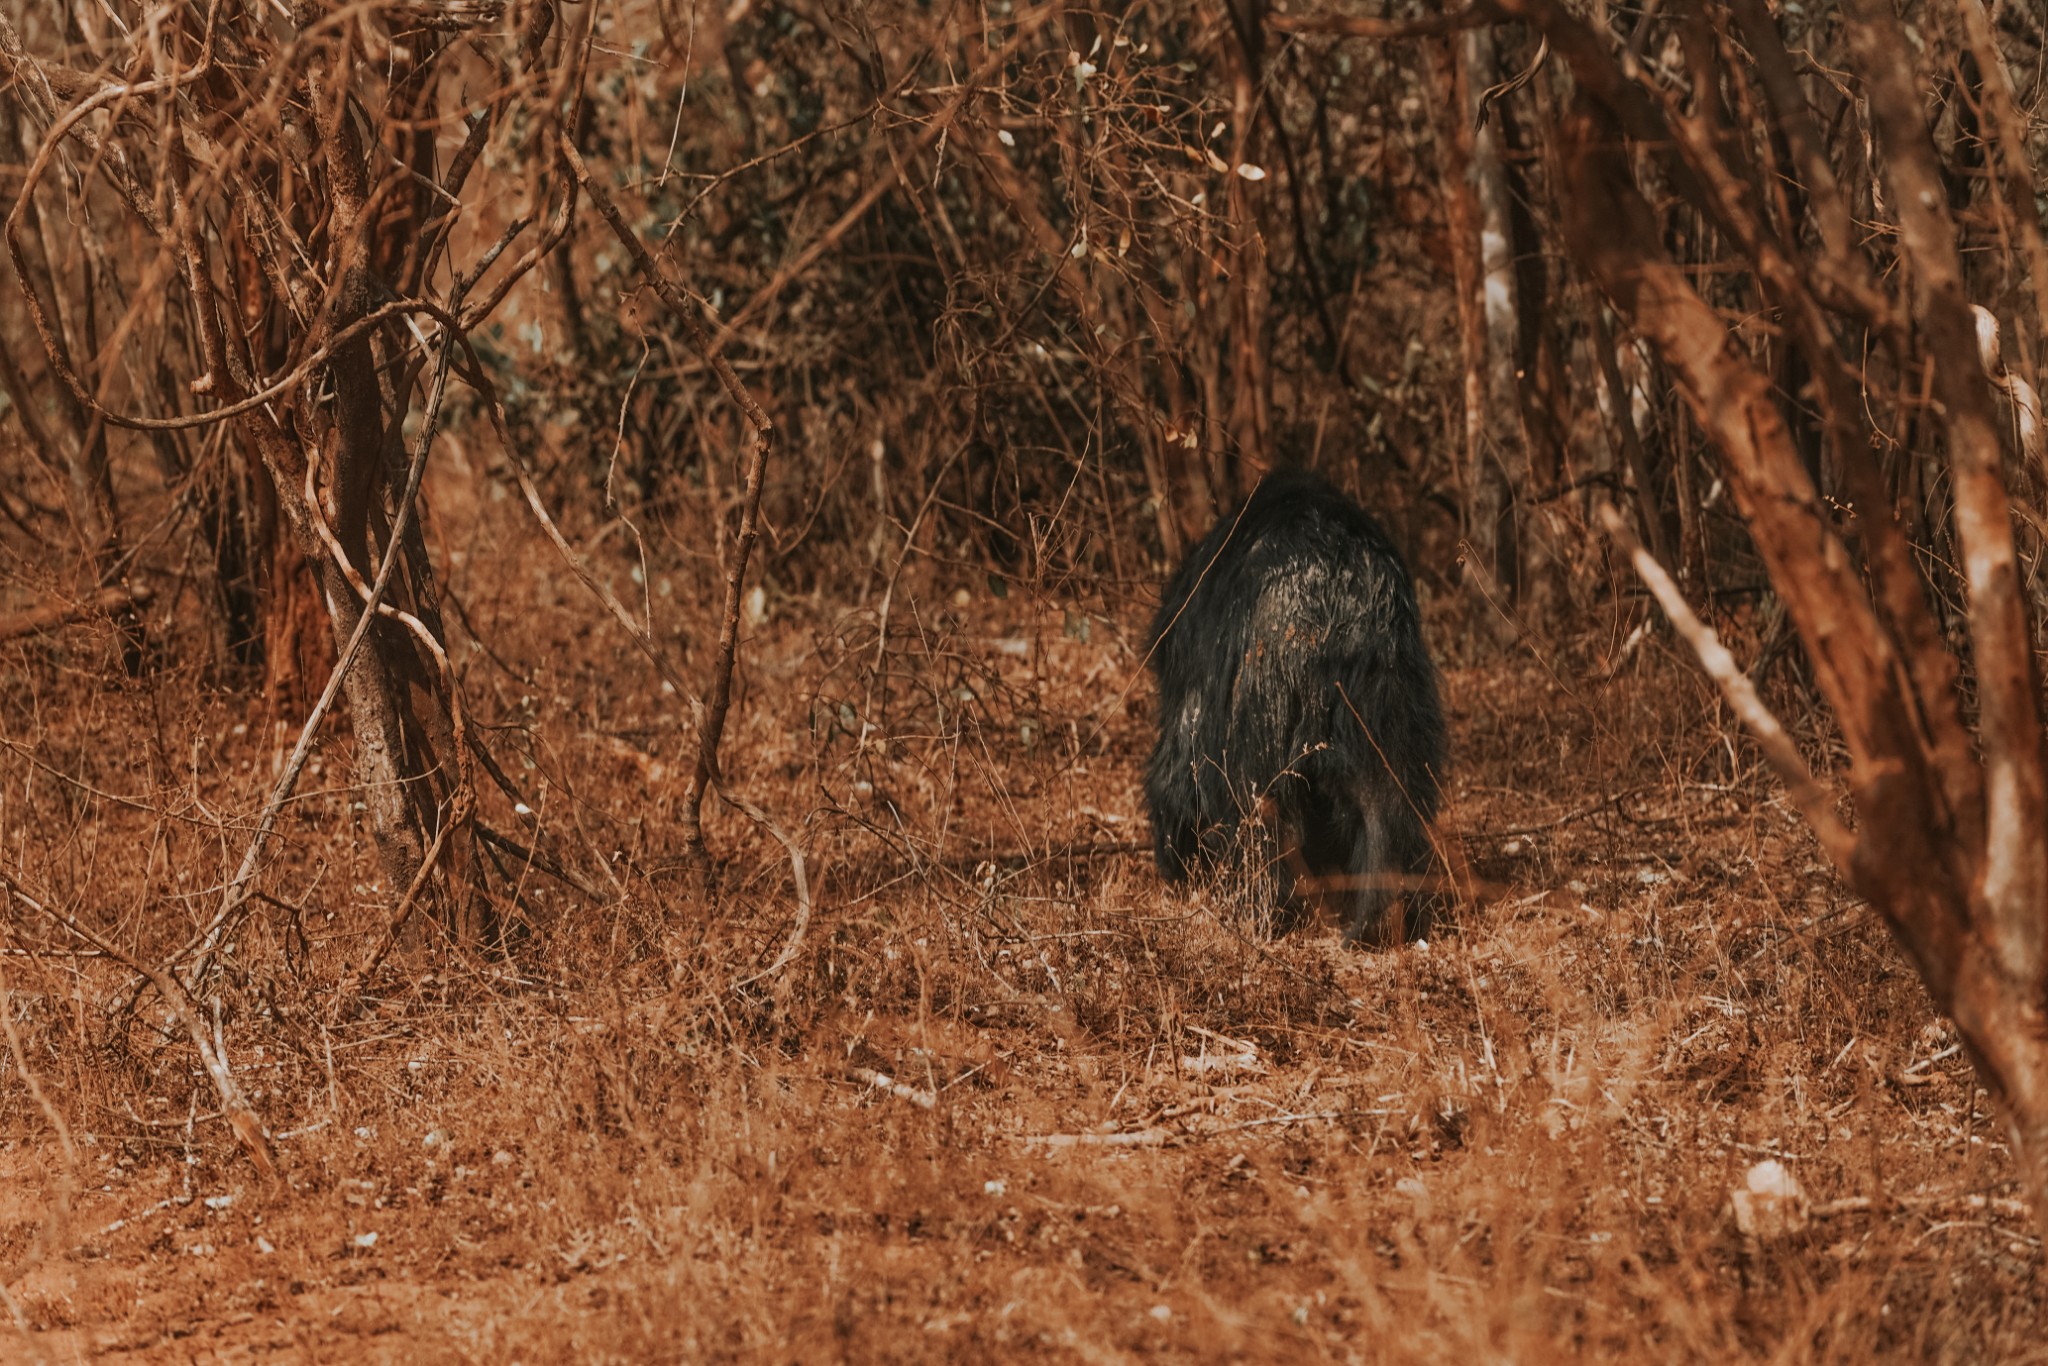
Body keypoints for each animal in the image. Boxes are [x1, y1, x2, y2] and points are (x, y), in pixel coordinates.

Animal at [1146, 466, 1449, 942]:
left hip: (1263, 696)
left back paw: (1260, 913)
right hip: (1389, 695)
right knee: (1390, 803)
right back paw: (1380, 922)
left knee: (1257, 808)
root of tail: (1336, 603)